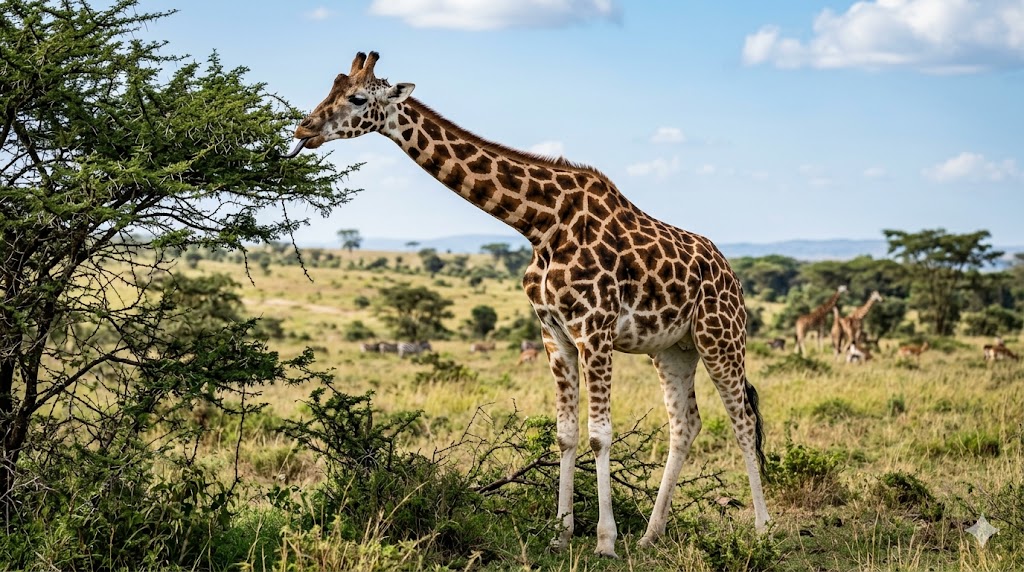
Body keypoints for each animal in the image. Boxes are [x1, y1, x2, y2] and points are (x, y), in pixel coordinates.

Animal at [288, 52, 770, 557]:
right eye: (331, 88)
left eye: (359, 98)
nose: (305, 128)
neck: (541, 224)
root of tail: (732, 275)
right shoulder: (554, 333)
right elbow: (566, 434)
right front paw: (561, 534)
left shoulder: (594, 330)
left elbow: (600, 436)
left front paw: (604, 541)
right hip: (673, 349)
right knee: (686, 424)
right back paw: (650, 535)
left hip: (720, 337)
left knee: (742, 420)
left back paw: (761, 530)